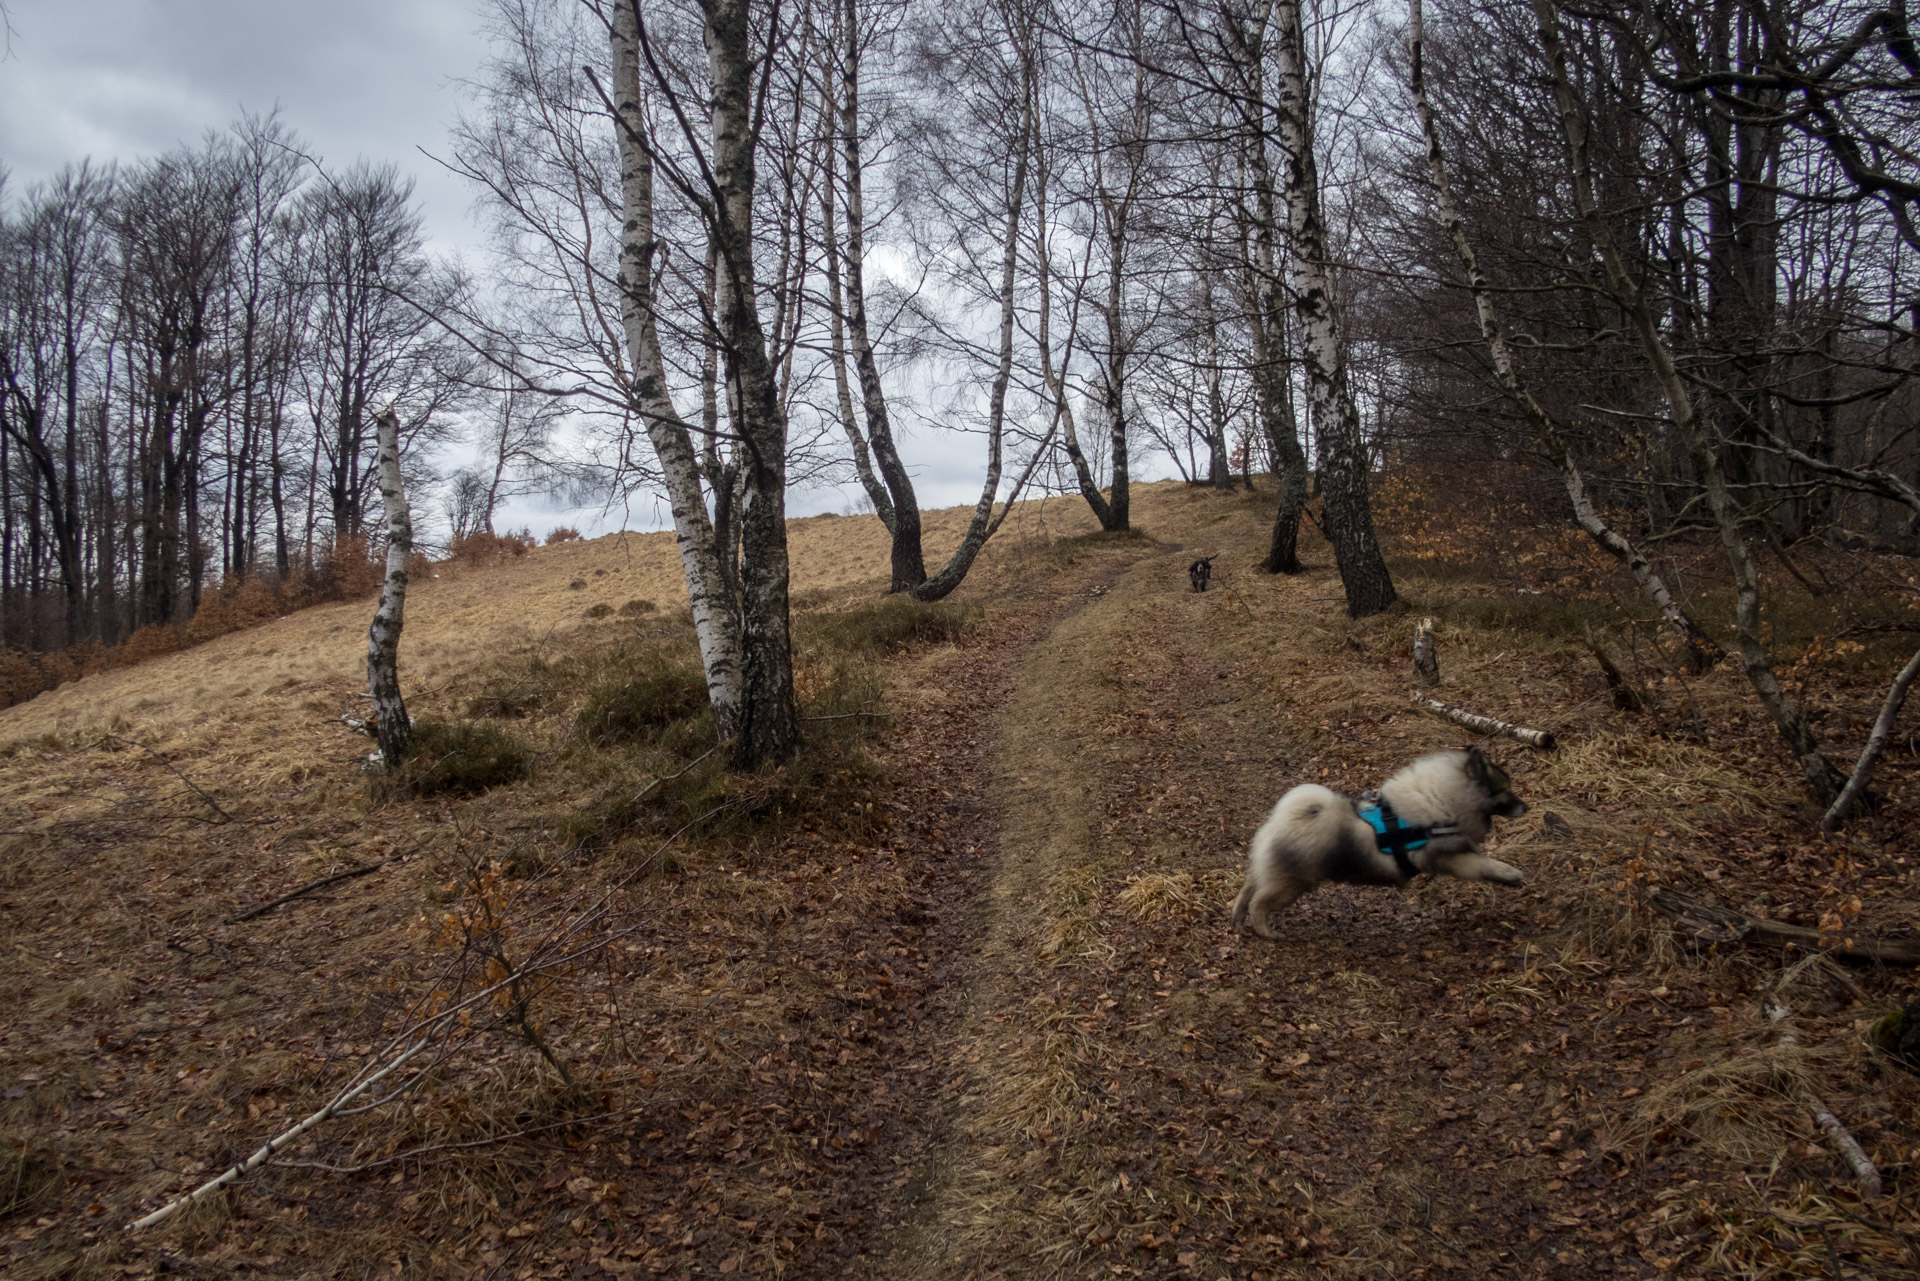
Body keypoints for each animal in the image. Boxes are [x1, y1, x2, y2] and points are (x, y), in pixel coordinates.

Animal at [1228, 745, 1528, 937]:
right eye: (1505, 790)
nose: (1527, 807)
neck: (1442, 801)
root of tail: (1283, 820)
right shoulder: (1450, 858)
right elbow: (1485, 864)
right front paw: (1512, 875)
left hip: (1274, 873)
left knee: (1247, 891)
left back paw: (1237, 917)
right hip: (1293, 884)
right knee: (1259, 902)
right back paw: (1266, 932)